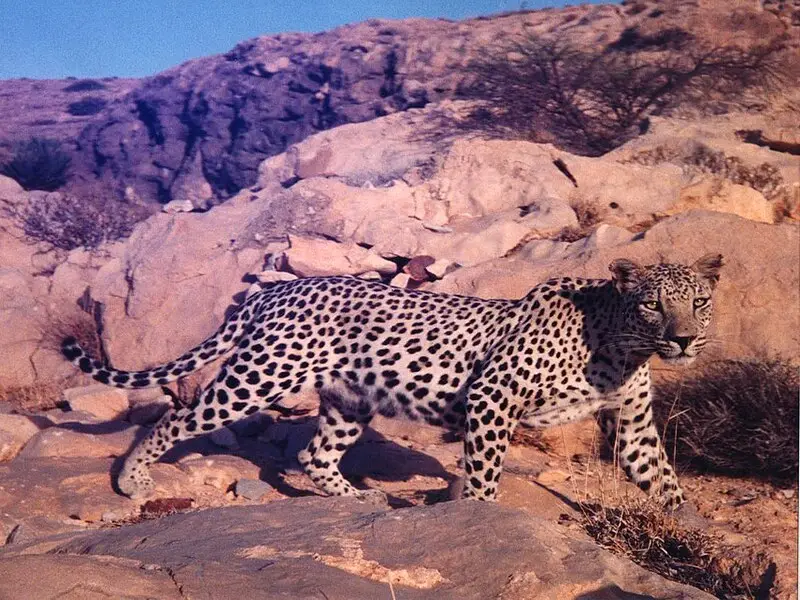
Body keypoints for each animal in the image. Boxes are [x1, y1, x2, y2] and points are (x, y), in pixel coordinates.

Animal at [62, 253, 724, 506]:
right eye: (653, 305)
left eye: (699, 302)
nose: (684, 340)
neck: (619, 349)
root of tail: (274, 289)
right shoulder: (493, 396)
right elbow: (484, 474)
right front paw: (481, 514)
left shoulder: (632, 424)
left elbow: (661, 478)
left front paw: (682, 526)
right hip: (261, 375)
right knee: (177, 414)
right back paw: (132, 478)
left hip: (349, 401)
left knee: (313, 453)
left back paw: (357, 497)